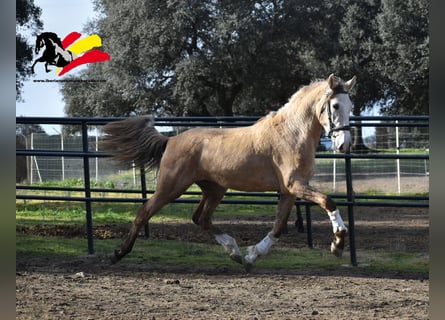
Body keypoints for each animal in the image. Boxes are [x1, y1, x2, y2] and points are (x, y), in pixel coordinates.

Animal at [102, 74, 356, 270]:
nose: (344, 144)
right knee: (144, 212)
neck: (292, 133)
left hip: (214, 189)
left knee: (200, 218)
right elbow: (328, 201)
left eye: (351, 106)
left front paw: (252, 256)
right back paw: (117, 254)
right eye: (335, 105)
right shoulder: (295, 184)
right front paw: (338, 244)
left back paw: (234, 251)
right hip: (171, 186)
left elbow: (278, 226)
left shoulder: (289, 190)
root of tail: (171, 140)